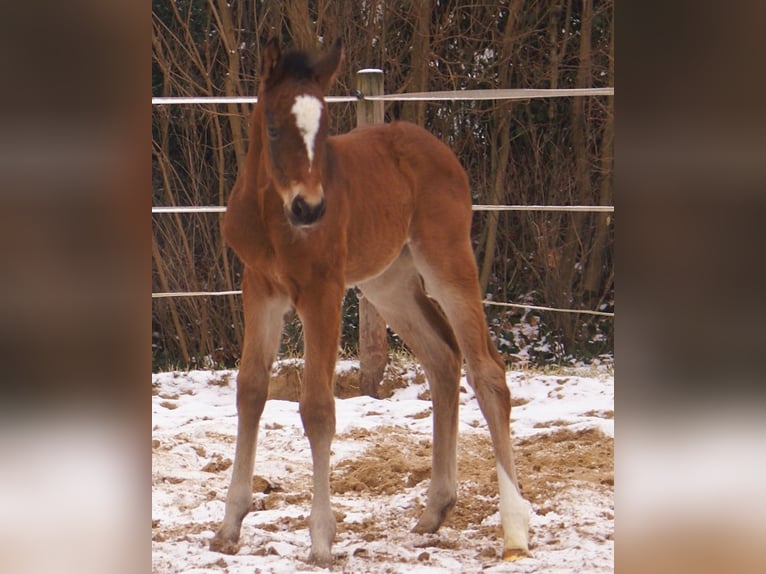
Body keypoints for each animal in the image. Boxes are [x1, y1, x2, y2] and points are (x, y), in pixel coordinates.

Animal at [213, 39, 532, 568]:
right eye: (274, 127)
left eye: (325, 130)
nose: (310, 208)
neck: (274, 215)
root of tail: (439, 148)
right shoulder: (259, 287)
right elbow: (251, 391)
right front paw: (228, 526)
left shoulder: (322, 291)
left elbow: (318, 408)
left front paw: (322, 540)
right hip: (389, 282)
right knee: (443, 358)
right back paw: (435, 510)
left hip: (446, 261)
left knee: (487, 372)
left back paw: (514, 532)